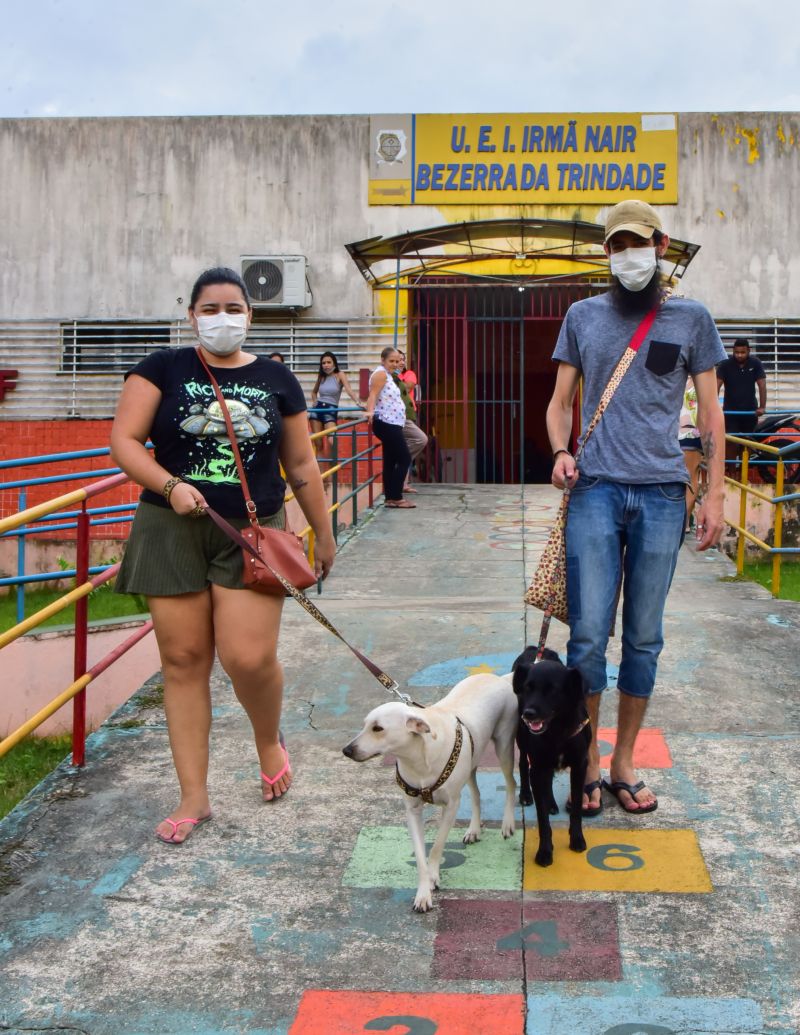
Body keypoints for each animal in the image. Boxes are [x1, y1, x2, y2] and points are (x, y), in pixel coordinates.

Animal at [341, 670, 517, 906]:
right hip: (471, 759)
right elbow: (420, 855)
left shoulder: (451, 806)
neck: (417, 757)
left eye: (378, 728)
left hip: (504, 746)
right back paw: (473, 829)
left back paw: (507, 823)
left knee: (511, 783)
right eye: (365, 725)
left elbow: (436, 847)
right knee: (476, 794)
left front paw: (434, 876)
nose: (346, 750)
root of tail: (498, 677)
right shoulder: (412, 810)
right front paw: (423, 892)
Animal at [515, 645, 587, 865]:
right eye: (528, 688)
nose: (528, 713)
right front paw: (545, 851)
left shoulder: (580, 766)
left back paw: (551, 803)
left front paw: (577, 839)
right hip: (521, 738)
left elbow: (577, 807)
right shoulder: (538, 767)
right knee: (523, 765)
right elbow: (542, 821)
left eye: (552, 690)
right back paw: (526, 795)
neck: (557, 730)